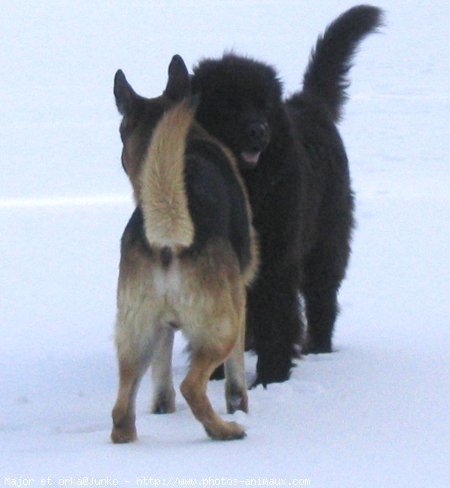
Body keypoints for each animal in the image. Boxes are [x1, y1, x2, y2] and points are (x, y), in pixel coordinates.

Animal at [111, 54, 258, 442]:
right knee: (193, 386)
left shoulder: (162, 331)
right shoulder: (240, 298)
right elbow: (236, 380)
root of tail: (169, 238)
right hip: (220, 327)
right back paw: (225, 430)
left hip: (134, 338)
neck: (190, 143)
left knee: (121, 409)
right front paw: (240, 407)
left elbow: (162, 385)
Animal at [191, 4, 384, 386]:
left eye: (264, 105)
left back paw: (318, 346)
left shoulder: (277, 257)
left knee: (322, 296)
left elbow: (278, 316)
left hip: (327, 240)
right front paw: (215, 373)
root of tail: (310, 104)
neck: (246, 186)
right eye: (230, 103)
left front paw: (272, 376)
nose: (259, 131)